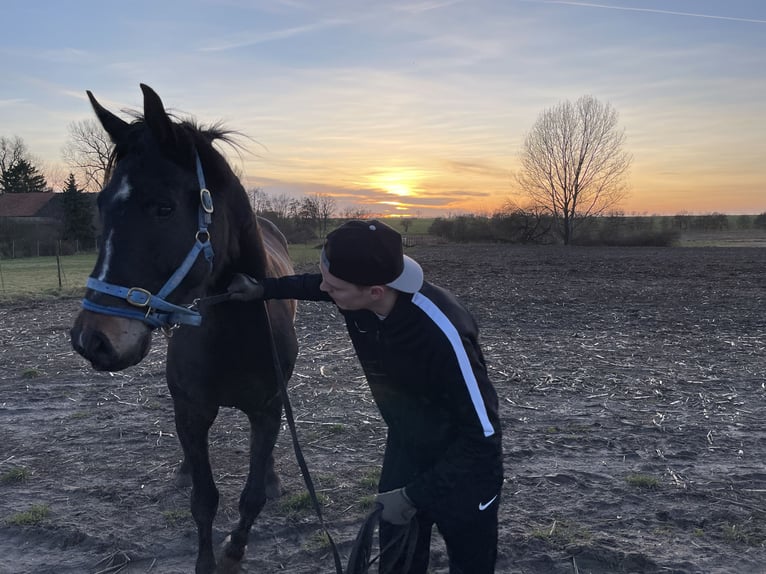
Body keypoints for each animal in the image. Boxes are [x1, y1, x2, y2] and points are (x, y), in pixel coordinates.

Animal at [70, 84, 298, 574]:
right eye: (101, 206)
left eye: (164, 207)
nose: (92, 339)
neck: (232, 330)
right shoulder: (192, 413)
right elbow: (204, 500)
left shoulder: (268, 411)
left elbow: (250, 497)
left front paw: (234, 551)